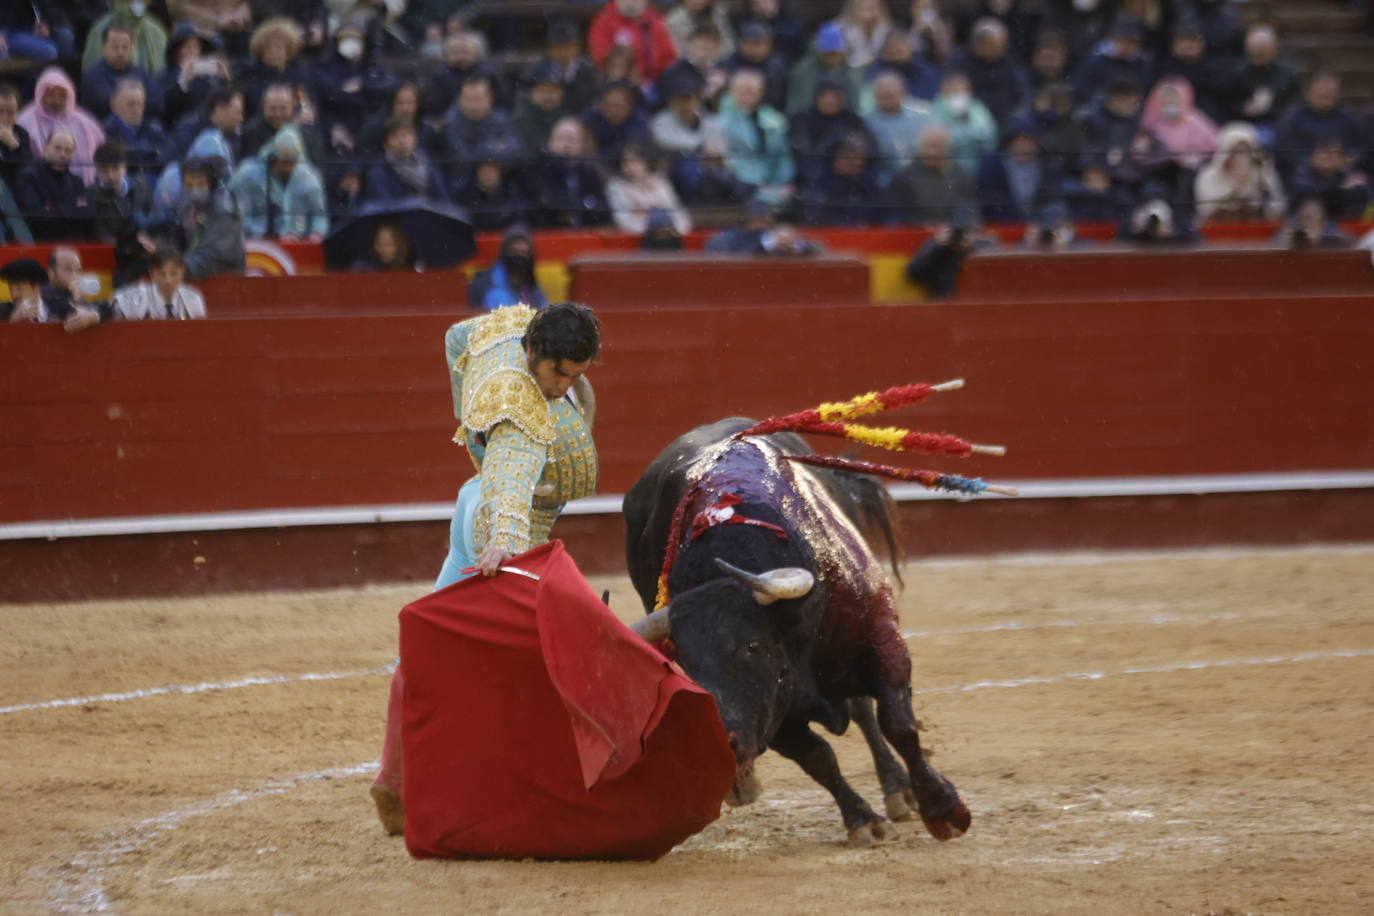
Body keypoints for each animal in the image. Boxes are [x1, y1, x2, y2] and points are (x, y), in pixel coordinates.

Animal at [623, 420, 967, 851]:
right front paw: (863, 821)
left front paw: (943, 808)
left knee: (864, 712)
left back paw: (898, 789)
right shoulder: (775, 713)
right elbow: (818, 758)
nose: (721, 749)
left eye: (752, 646)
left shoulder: (881, 641)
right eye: (685, 663)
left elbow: (897, 723)